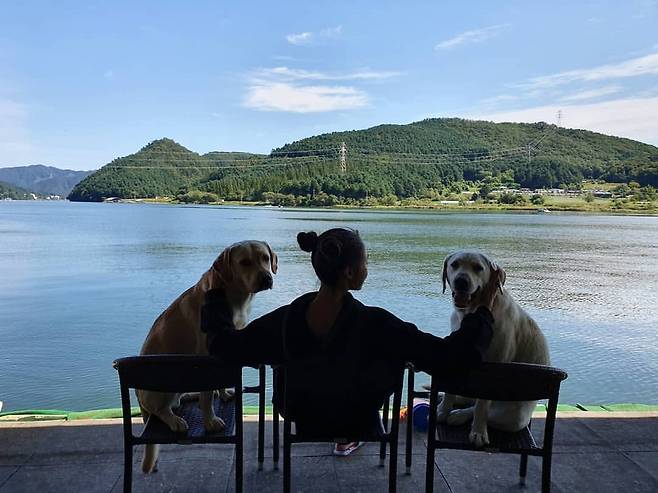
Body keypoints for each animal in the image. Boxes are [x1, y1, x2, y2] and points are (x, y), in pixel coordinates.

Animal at [137, 240, 277, 473]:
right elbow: (207, 395)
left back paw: (188, 396)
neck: (233, 297)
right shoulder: (206, 355)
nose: (267, 278)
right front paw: (210, 421)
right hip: (163, 386)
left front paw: (223, 394)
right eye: (244, 262)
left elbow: (217, 384)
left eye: (265, 258)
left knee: (177, 401)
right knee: (161, 410)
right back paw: (175, 420)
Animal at [436, 250, 549, 447]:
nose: (461, 281)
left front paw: (478, 432)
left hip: (515, 416)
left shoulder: (494, 365)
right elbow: (451, 388)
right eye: (454, 264)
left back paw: (458, 416)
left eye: (478, 268)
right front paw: (443, 410)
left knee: (482, 409)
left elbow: (481, 407)